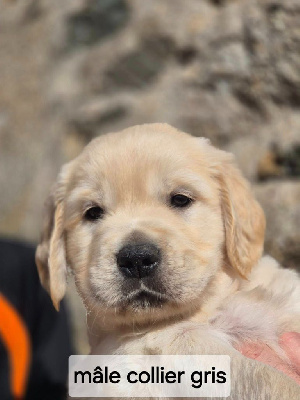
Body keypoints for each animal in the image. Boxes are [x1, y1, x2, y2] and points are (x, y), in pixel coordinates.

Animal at [35, 123, 300, 398]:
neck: (207, 307)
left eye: (180, 199)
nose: (137, 259)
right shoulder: (161, 347)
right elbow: (264, 377)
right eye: (93, 212)